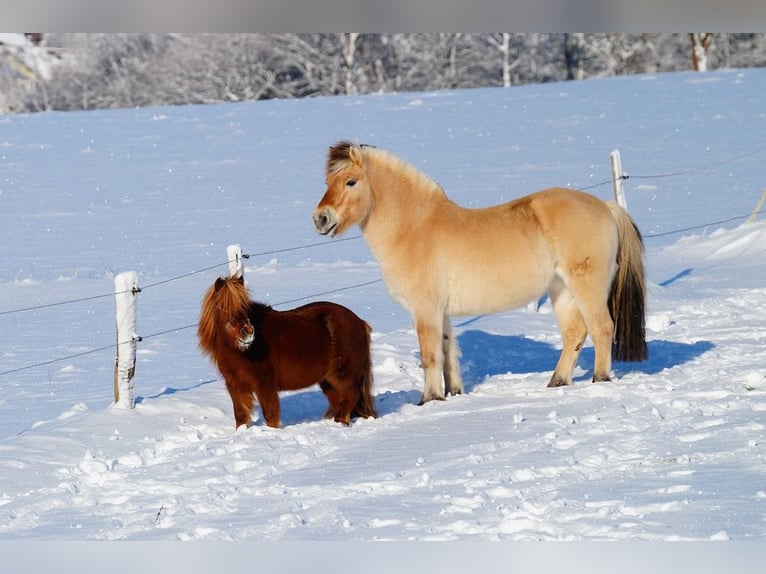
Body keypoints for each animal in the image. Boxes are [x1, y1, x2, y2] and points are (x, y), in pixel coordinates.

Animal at [198, 274, 378, 429]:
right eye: (223, 306)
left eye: (245, 306)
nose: (248, 332)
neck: (243, 351)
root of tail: (360, 322)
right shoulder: (235, 385)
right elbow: (241, 416)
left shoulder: (265, 384)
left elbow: (270, 415)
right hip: (327, 380)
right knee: (339, 400)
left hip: (342, 375)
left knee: (351, 395)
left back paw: (340, 422)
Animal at [313, 141, 647, 404]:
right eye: (327, 181)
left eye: (351, 182)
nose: (320, 218)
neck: (414, 229)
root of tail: (606, 207)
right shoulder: (442, 312)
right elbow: (448, 352)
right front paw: (452, 392)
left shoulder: (425, 310)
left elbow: (430, 355)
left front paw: (428, 399)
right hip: (561, 291)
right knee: (574, 334)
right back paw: (556, 382)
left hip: (587, 287)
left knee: (602, 328)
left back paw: (599, 379)